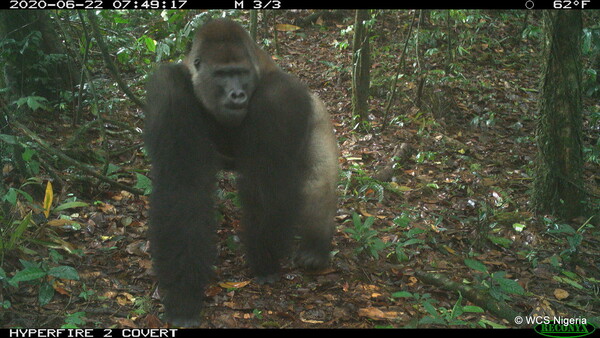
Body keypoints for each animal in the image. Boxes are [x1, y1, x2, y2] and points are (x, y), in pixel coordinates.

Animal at [142, 19, 338, 328]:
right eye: (222, 75)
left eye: (241, 73)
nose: (237, 94)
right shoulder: (170, 90)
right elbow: (183, 188)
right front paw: (184, 295)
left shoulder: (279, 98)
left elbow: (267, 185)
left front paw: (265, 264)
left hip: (319, 115)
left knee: (319, 182)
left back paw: (314, 250)